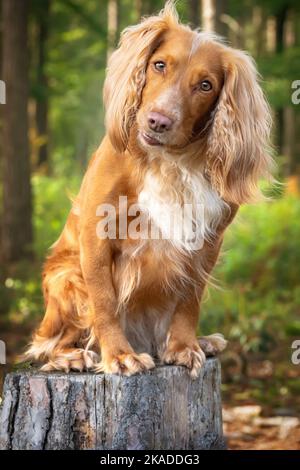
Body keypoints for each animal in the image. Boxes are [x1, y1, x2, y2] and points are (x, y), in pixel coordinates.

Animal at [24, 0, 274, 378]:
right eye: (159, 65)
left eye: (205, 85)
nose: (158, 121)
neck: (167, 161)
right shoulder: (96, 234)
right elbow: (104, 302)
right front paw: (119, 355)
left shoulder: (208, 242)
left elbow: (190, 300)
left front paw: (184, 346)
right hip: (65, 278)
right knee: (46, 344)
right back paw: (72, 356)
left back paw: (202, 341)